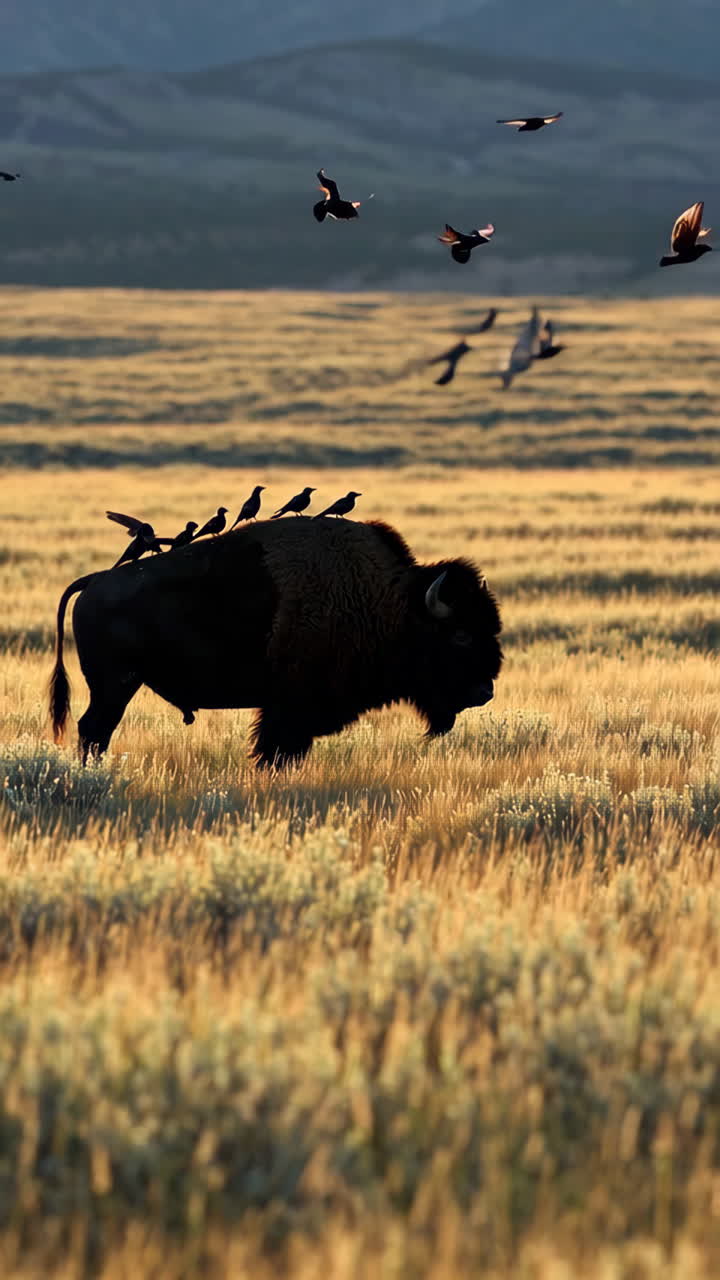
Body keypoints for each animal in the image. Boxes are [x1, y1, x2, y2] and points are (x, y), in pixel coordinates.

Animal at [49, 518, 502, 768]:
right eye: (461, 634)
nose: (484, 692)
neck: (388, 602)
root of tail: (94, 582)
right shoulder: (289, 709)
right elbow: (276, 749)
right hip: (115, 685)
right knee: (94, 730)